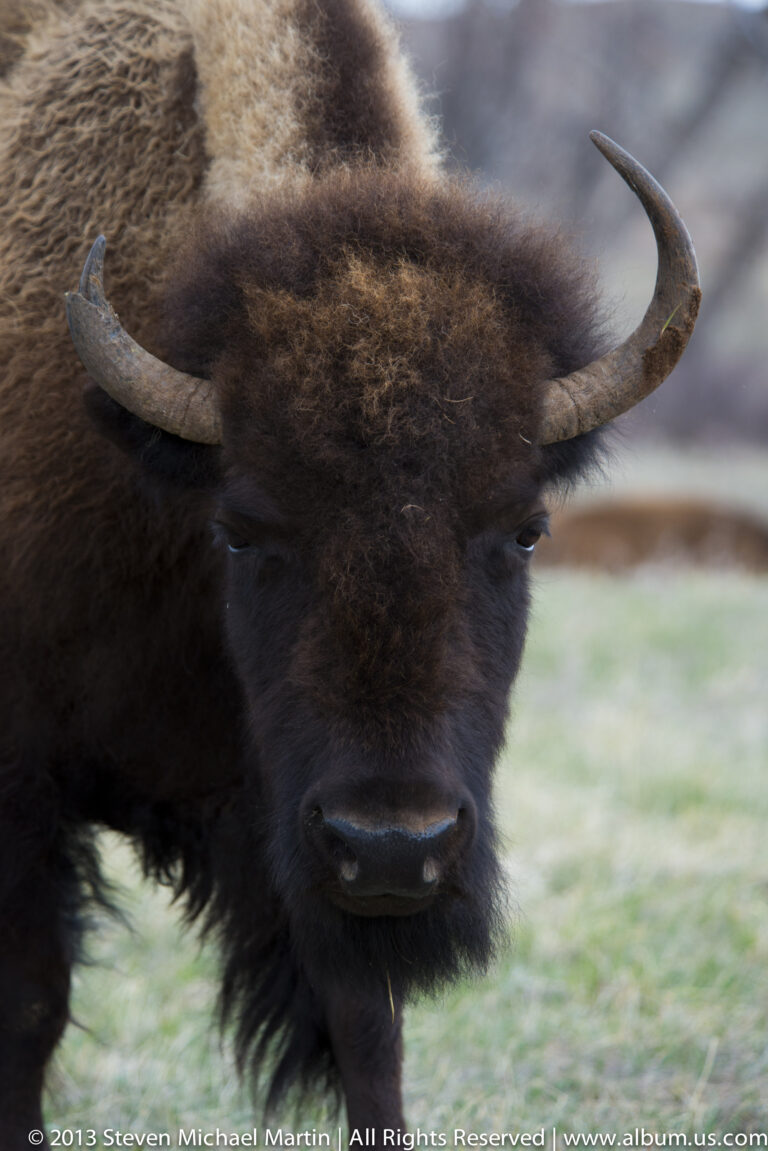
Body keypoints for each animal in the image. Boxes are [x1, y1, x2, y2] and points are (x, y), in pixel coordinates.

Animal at [0, 0, 699, 1144]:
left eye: (526, 530)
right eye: (241, 529)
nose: (393, 842)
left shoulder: (299, 845)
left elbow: (369, 1032)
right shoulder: (24, 784)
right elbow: (30, 1006)